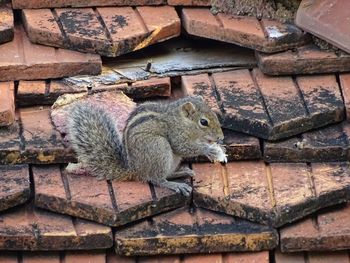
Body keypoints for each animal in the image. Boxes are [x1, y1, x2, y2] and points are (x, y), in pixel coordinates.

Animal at [65, 95, 226, 196]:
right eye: (203, 122)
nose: (221, 137)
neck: (179, 120)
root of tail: (135, 170)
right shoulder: (174, 134)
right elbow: (182, 147)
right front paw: (208, 149)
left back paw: (181, 173)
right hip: (158, 148)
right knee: (156, 179)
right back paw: (174, 185)